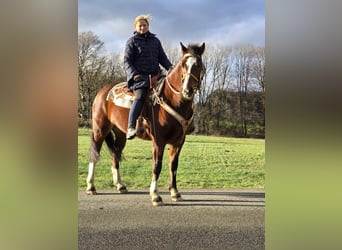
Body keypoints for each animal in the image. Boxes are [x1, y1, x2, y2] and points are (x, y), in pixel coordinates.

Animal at [85, 42, 204, 205]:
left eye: (198, 65)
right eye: (183, 65)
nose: (187, 90)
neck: (171, 100)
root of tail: (103, 91)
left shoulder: (178, 142)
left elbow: (173, 166)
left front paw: (175, 192)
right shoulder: (158, 141)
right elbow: (157, 166)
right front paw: (155, 195)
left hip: (120, 134)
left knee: (115, 155)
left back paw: (120, 185)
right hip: (99, 130)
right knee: (94, 154)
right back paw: (91, 186)